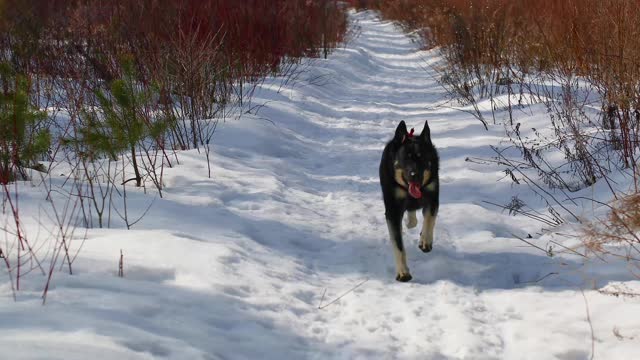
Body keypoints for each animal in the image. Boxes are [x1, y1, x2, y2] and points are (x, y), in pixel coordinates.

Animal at [380, 120, 440, 282]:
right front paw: (403, 273)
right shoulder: (393, 210)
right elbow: (398, 244)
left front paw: (425, 241)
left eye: (421, 157)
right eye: (405, 158)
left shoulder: (433, 197)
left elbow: (429, 220)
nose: (414, 175)